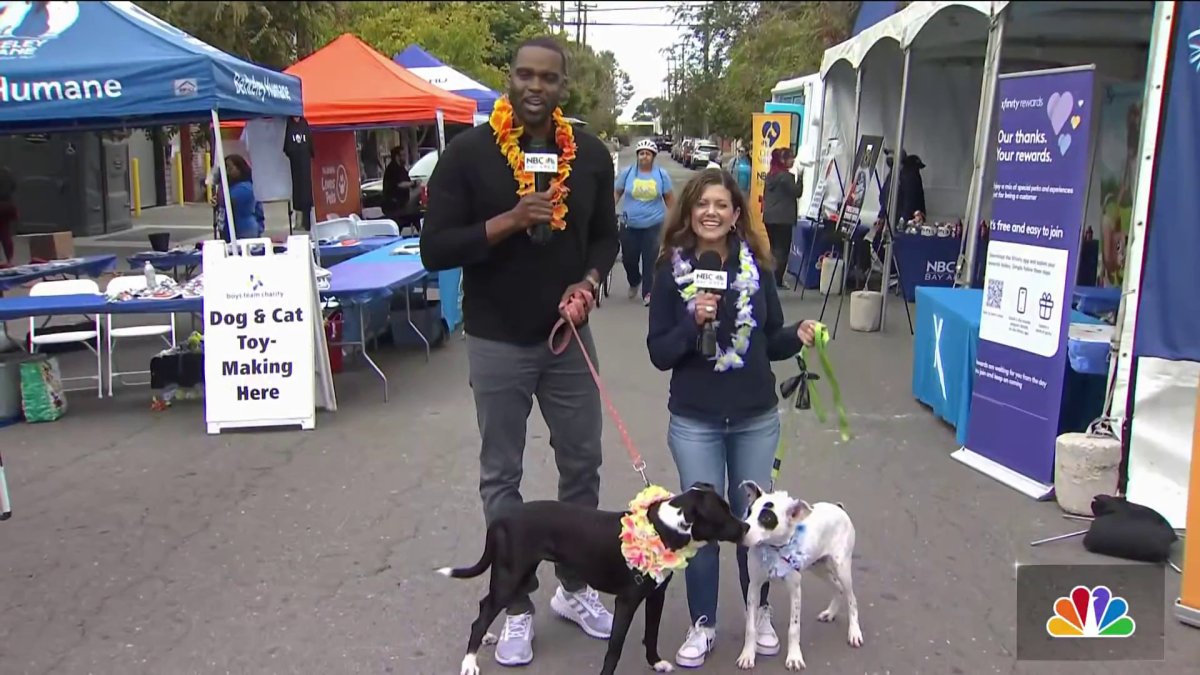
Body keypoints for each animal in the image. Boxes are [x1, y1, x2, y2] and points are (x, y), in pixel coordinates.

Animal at [436, 480, 744, 672]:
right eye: (722, 515)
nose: (746, 527)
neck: (661, 528)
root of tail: (503, 517)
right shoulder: (627, 602)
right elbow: (615, 649)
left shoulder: (656, 596)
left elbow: (651, 634)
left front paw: (655, 662)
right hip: (512, 576)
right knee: (481, 616)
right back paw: (469, 663)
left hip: (518, 576)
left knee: (484, 605)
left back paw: (485, 639)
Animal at [729, 478, 864, 667]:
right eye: (748, 512)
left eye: (766, 518)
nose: (741, 530)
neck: (775, 548)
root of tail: (839, 508)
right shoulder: (754, 587)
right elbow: (750, 627)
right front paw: (747, 655)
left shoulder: (795, 590)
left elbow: (794, 628)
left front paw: (794, 657)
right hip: (818, 566)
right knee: (838, 588)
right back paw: (830, 613)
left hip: (842, 567)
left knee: (852, 599)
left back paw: (854, 632)